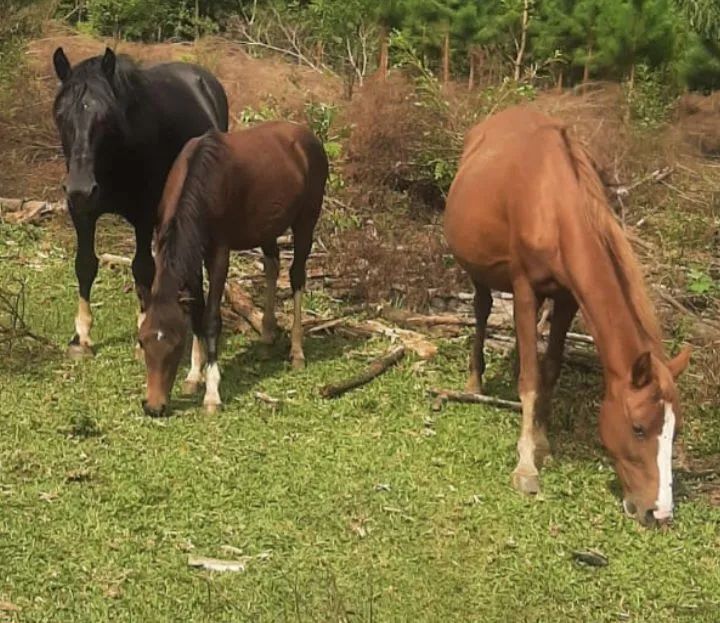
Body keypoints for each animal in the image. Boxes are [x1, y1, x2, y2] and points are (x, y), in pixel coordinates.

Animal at [52, 47, 228, 359]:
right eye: (61, 116)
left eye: (105, 117)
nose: (80, 188)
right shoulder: (81, 212)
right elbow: (85, 264)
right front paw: (81, 337)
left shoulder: (144, 217)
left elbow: (142, 268)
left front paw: (143, 335)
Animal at [138, 121, 328, 417]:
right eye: (142, 340)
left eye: (176, 344)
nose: (154, 406)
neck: (202, 181)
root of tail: (307, 136)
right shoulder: (193, 255)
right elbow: (196, 312)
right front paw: (194, 375)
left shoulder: (218, 254)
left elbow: (211, 319)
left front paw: (212, 393)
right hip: (267, 228)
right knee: (272, 265)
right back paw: (267, 335)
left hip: (305, 222)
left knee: (297, 276)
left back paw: (297, 351)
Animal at [443, 106, 691, 526]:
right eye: (639, 428)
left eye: (674, 430)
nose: (658, 512)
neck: (553, 204)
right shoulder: (525, 287)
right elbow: (530, 379)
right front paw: (526, 466)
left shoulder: (567, 298)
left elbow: (550, 369)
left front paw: (541, 442)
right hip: (480, 273)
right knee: (482, 309)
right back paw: (475, 380)